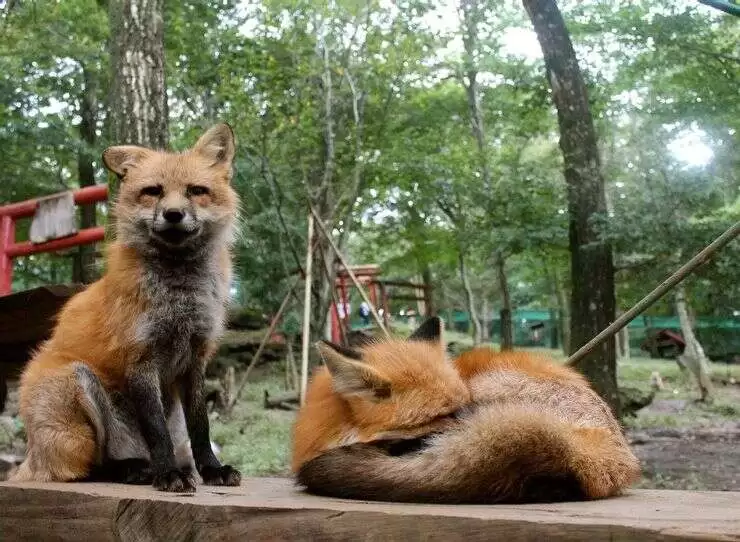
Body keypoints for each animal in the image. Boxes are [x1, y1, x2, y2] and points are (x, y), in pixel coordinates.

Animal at [11, 124, 242, 492]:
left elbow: (201, 426)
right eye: (153, 191)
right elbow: (157, 432)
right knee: (90, 467)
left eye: (196, 191)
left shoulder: (196, 357)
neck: (179, 296)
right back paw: (137, 470)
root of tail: (32, 454)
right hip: (76, 385)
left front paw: (212, 469)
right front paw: (168, 475)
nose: (173, 214)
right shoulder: (140, 357)